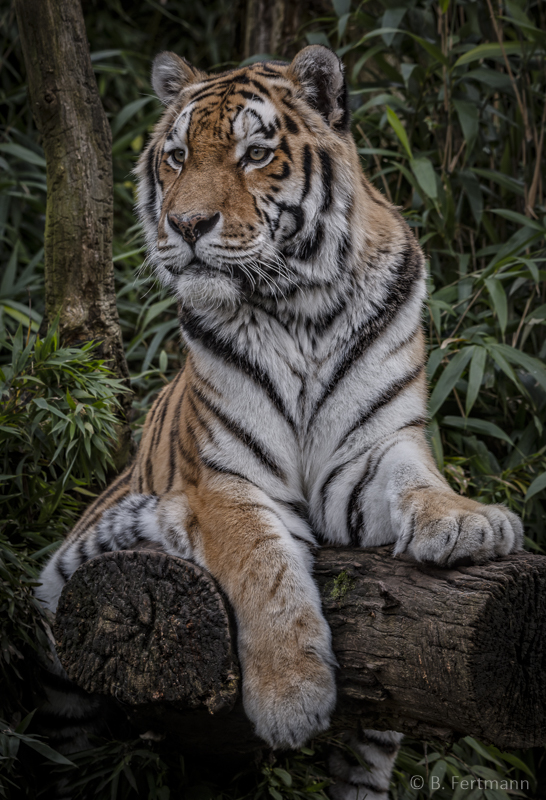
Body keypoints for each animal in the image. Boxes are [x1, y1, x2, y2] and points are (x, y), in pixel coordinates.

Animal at [36, 45, 520, 800]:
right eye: (176, 157)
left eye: (256, 154)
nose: (186, 226)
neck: (301, 309)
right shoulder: (224, 481)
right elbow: (264, 569)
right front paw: (291, 700)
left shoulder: (369, 453)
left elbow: (417, 481)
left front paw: (471, 525)